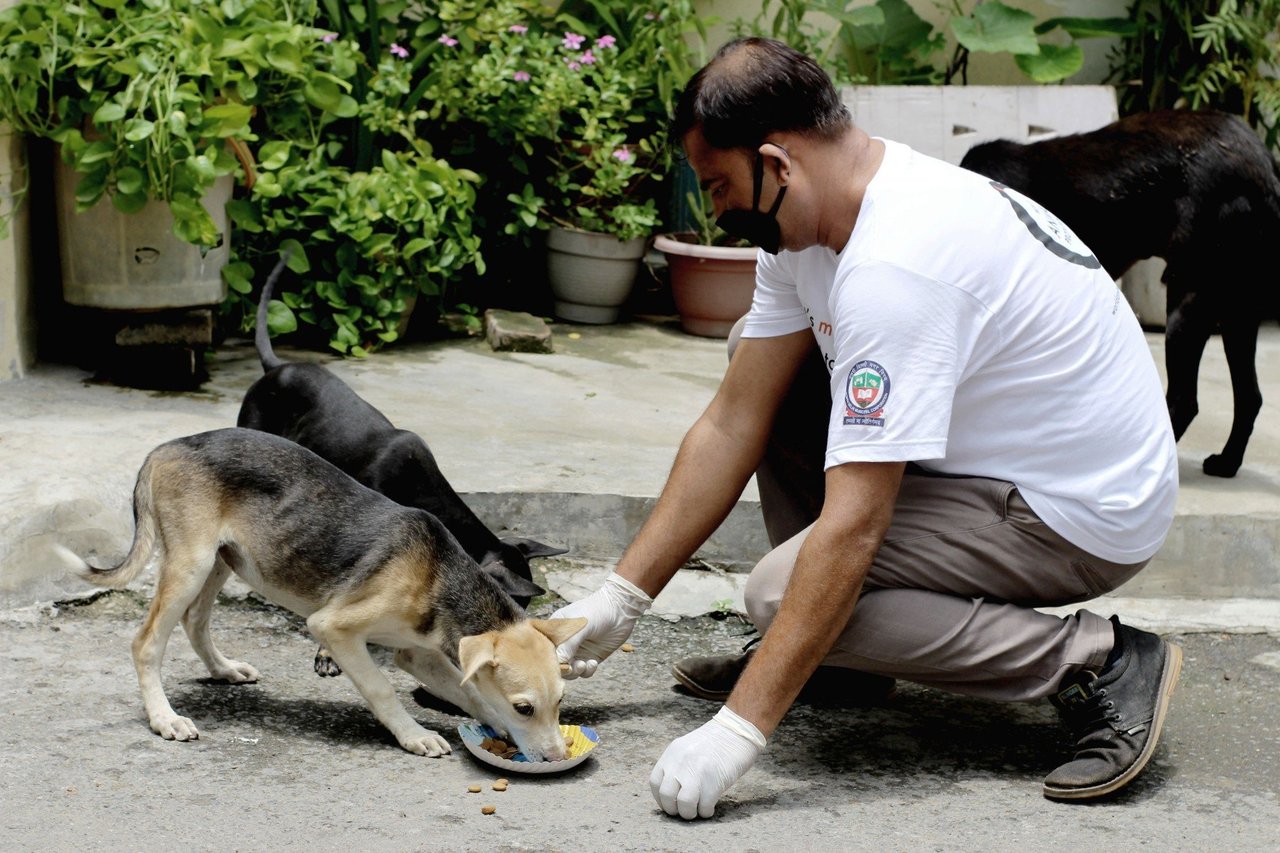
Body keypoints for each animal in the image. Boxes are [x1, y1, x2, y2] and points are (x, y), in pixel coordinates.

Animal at [962, 108, 1280, 473]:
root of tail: (1264, 165)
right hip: (1237, 308)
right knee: (1249, 396)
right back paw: (1227, 462)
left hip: (1189, 298)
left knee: (1185, 400)